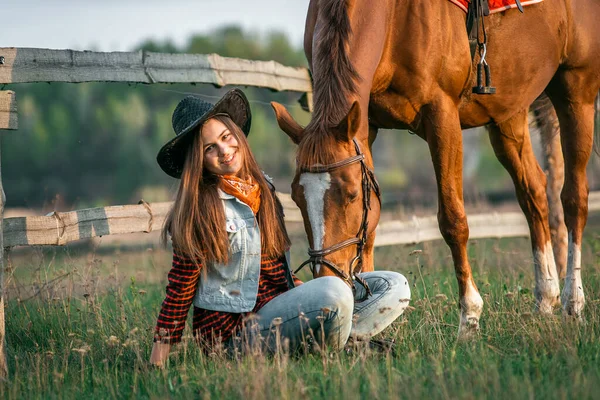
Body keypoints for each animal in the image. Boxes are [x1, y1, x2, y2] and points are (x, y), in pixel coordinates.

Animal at [274, 0, 600, 338]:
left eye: (351, 194)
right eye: (296, 198)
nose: (328, 279)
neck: (392, 17)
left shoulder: (441, 115)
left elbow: (453, 221)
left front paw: (469, 318)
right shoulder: (367, 126)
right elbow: (371, 228)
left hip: (576, 92)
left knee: (574, 198)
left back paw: (573, 302)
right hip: (509, 113)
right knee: (533, 192)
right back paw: (546, 299)